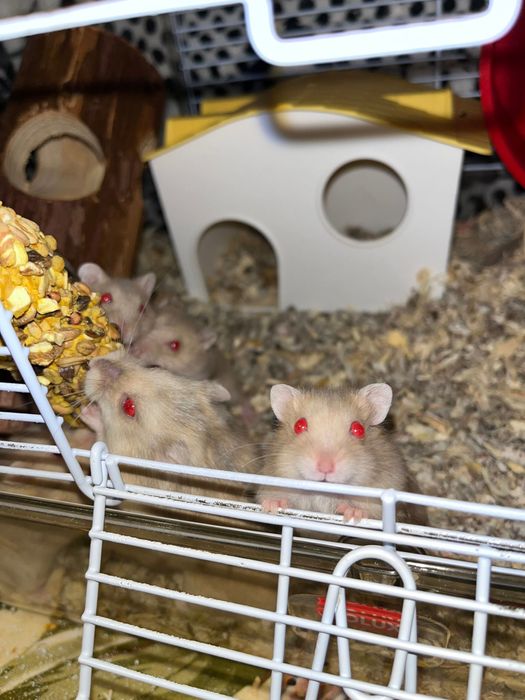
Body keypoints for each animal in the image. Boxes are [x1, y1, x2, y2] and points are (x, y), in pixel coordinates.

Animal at [257, 383, 424, 524]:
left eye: (358, 429)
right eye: (299, 426)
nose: (325, 468)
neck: (324, 494)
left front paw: (352, 513)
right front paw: (271, 507)